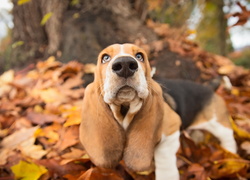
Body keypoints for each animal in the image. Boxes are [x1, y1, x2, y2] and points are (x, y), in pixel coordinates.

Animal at [79, 43, 236, 180]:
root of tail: (208, 87)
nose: (125, 64)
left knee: (228, 139)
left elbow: (164, 157)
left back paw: (230, 157)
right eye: (105, 58)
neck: (125, 109)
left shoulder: (172, 129)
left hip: (219, 125)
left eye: (140, 56)